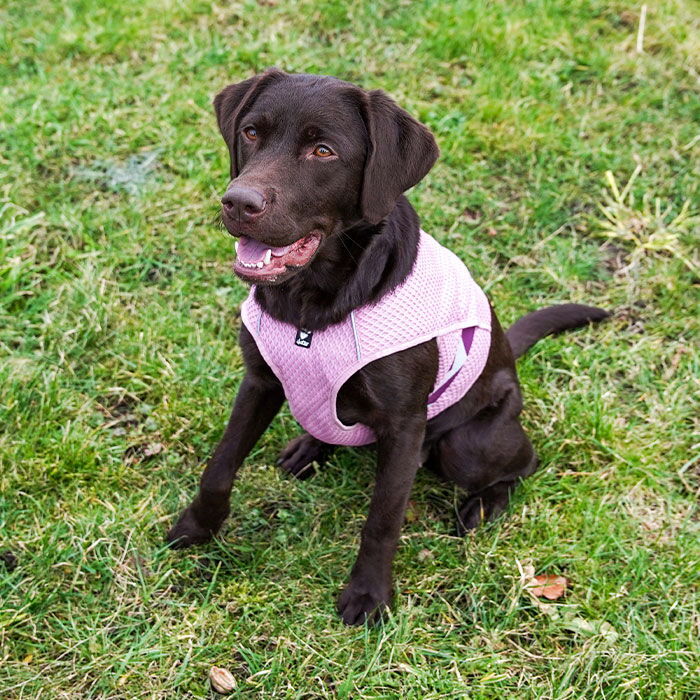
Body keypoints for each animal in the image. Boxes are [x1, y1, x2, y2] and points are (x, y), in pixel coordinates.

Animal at [167, 69, 608, 625]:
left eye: (323, 151)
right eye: (250, 132)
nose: (239, 202)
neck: (312, 306)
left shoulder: (405, 424)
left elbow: (382, 518)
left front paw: (369, 594)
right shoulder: (260, 380)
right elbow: (220, 465)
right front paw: (196, 527)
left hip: (469, 446)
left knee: (522, 463)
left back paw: (484, 505)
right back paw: (309, 446)